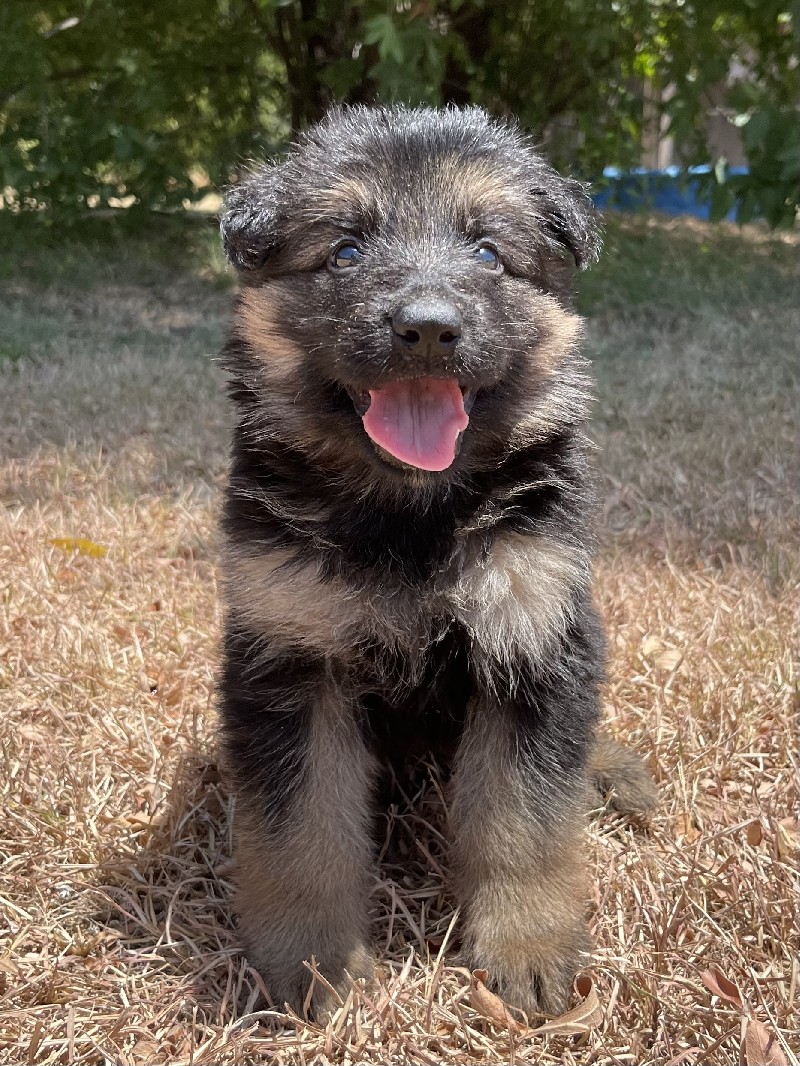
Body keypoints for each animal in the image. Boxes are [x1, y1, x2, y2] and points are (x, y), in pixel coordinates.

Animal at [219, 103, 657, 1019]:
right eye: (346, 250)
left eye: (488, 252)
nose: (426, 328)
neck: (410, 515)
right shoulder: (292, 657)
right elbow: (302, 829)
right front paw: (313, 961)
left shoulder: (534, 640)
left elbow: (524, 822)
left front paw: (527, 947)